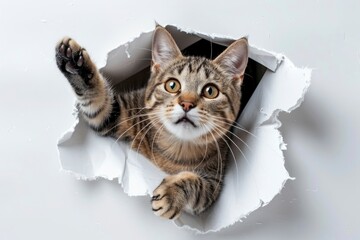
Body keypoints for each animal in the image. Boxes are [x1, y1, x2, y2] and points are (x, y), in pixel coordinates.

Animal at [55, 26, 248, 219]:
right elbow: (100, 102)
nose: (186, 104)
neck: (177, 148)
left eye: (210, 91)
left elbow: (196, 184)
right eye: (172, 85)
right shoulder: (121, 114)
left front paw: (171, 194)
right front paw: (75, 64)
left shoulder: (213, 182)